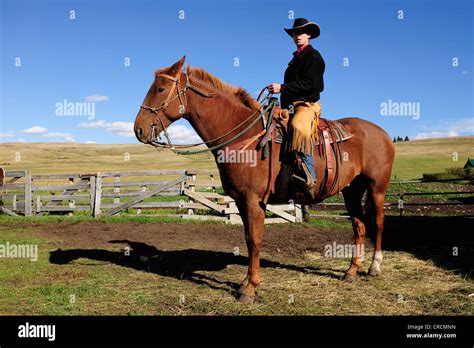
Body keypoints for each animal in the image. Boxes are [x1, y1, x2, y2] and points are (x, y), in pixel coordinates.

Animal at [131, 56, 394, 302]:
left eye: (160, 89)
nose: (138, 129)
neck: (245, 136)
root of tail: (382, 133)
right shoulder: (240, 200)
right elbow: (248, 239)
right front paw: (244, 284)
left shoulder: (253, 200)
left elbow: (255, 241)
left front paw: (250, 289)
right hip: (351, 190)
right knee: (359, 226)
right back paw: (351, 270)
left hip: (376, 188)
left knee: (378, 224)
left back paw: (375, 266)